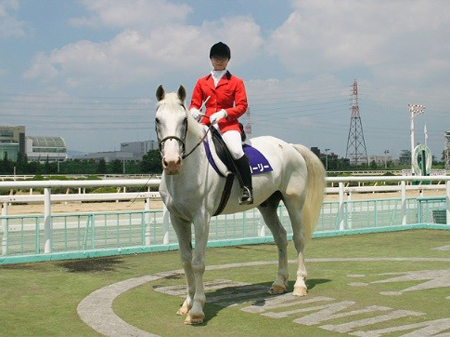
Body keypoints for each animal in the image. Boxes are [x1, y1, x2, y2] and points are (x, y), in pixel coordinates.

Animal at [155, 85, 324, 324]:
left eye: (184, 120)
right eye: (158, 120)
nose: (171, 163)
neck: (188, 168)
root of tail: (290, 146)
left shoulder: (201, 218)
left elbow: (198, 262)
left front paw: (196, 309)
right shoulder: (178, 218)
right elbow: (186, 261)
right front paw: (187, 304)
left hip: (294, 202)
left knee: (298, 239)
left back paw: (299, 285)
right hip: (267, 205)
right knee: (281, 237)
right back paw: (279, 283)